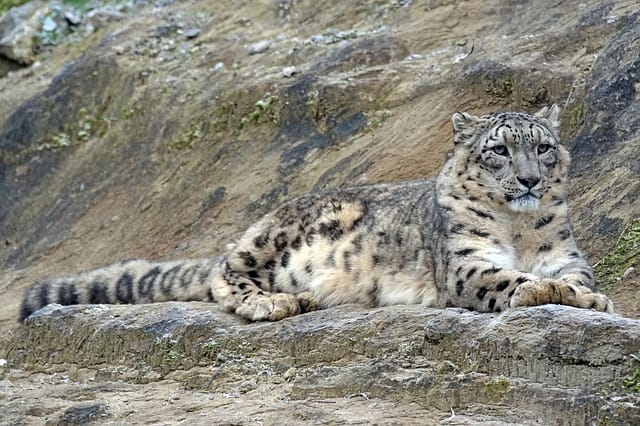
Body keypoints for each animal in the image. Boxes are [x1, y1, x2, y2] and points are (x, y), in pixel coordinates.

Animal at [19, 104, 614, 322]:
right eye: (499, 150)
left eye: (543, 147)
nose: (530, 180)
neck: (518, 228)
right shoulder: (466, 262)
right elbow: (511, 279)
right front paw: (554, 294)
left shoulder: (565, 254)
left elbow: (572, 277)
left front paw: (586, 296)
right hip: (273, 239)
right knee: (223, 272)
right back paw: (274, 302)